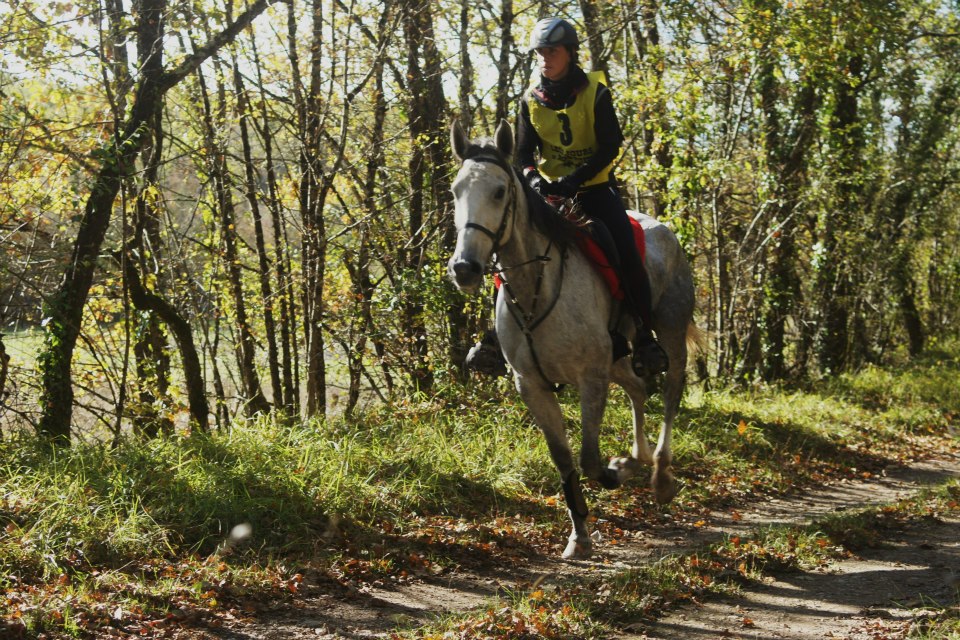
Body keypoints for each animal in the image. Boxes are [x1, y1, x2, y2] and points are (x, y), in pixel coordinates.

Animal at [446, 120, 700, 560]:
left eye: (499, 191)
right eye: (456, 191)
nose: (465, 268)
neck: (537, 285)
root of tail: (663, 229)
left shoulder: (590, 378)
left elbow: (590, 460)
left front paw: (615, 474)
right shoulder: (532, 385)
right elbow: (564, 459)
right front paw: (579, 534)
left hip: (668, 333)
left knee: (669, 390)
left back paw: (661, 475)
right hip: (618, 355)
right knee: (637, 387)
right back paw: (637, 458)